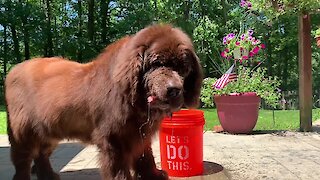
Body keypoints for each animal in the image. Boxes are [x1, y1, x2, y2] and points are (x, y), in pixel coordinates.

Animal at [5, 24, 202, 180]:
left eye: (183, 69)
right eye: (157, 63)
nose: (174, 89)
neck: (135, 99)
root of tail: (13, 70)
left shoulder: (139, 133)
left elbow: (145, 156)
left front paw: (153, 175)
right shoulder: (113, 136)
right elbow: (118, 165)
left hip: (48, 130)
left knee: (41, 155)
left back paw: (48, 176)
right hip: (23, 131)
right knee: (22, 159)